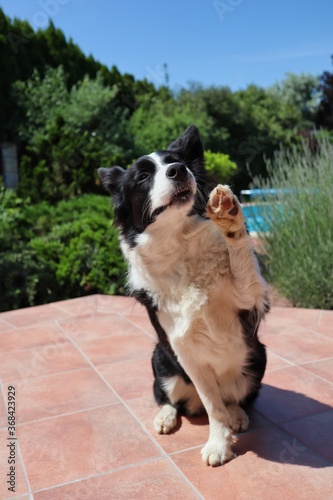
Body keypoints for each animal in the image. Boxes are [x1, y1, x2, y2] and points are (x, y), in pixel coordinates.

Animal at [98, 124, 268, 464]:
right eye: (142, 176)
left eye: (177, 162)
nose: (179, 170)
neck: (179, 244)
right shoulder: (183, 347)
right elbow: (212, 404)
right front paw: (218, 444)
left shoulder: (248, 300)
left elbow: (240, 256)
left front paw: (230, 217)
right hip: (159, 360)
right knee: (170, 397)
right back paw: (167, 416)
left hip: (257, 357)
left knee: (235, 399)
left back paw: (238, 414)